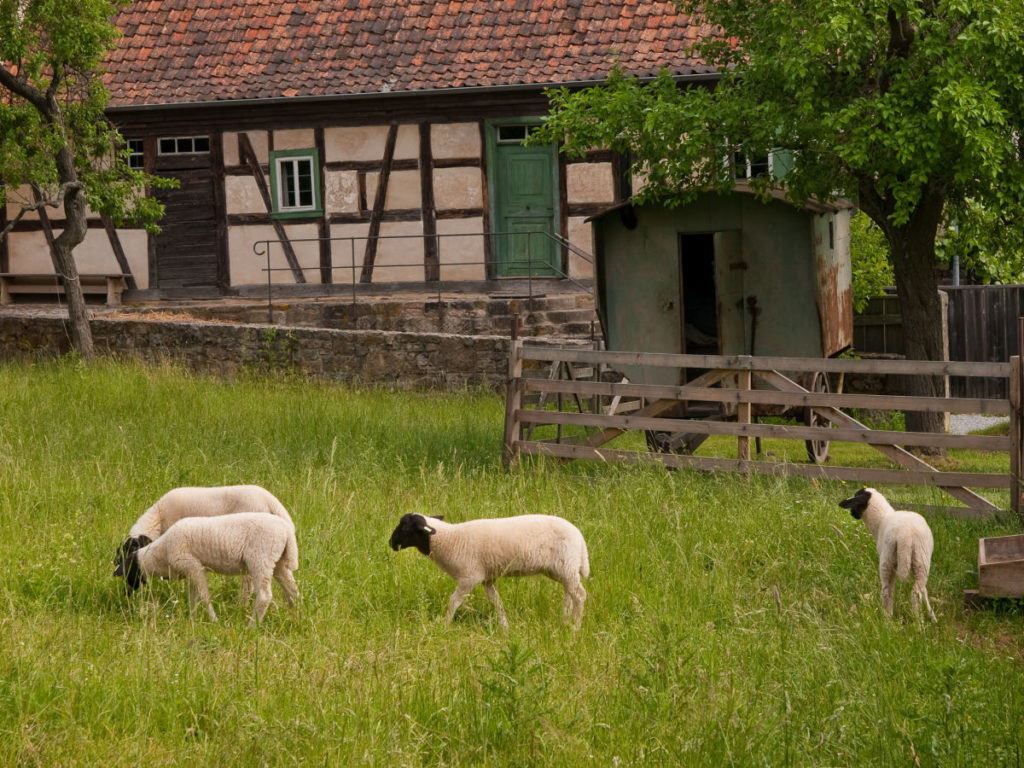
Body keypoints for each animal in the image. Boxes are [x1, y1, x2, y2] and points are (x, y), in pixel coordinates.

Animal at [117, 512, 299, 626]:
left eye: (129, 574)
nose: (126, 594)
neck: (161, 553)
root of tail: (286, 531)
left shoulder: (194, 566)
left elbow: (204, 597)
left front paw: (213, 620)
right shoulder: (190, 571)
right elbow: (193, 596)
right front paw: (192, 618)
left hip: (261, 559)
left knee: (265, 596)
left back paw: (252, 626)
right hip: (278, 563)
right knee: (292, 589)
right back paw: (296, 615)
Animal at [387, 512, 589, 630]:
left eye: (405, 527)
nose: (390, 543)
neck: (449, 539)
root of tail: (579, 536)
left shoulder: (469, 577)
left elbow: (453, 602)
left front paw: (444, 623)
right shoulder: (487, 579)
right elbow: (496, 602)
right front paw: (505, 627)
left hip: (566, 566)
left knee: (579, 595)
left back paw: (576, 627)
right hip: (562, 569)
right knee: (569, 592)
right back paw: (564, 620)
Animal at [839, 489, 937, 622]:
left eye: (855, 498)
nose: (852, 514)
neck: (880, 521)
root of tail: (905, 536)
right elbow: (925, 591)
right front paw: (931, 615)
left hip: (887, 561)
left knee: (887, 591)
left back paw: (888, 618)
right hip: (921, 560)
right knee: (917, 592)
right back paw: (919, 621)